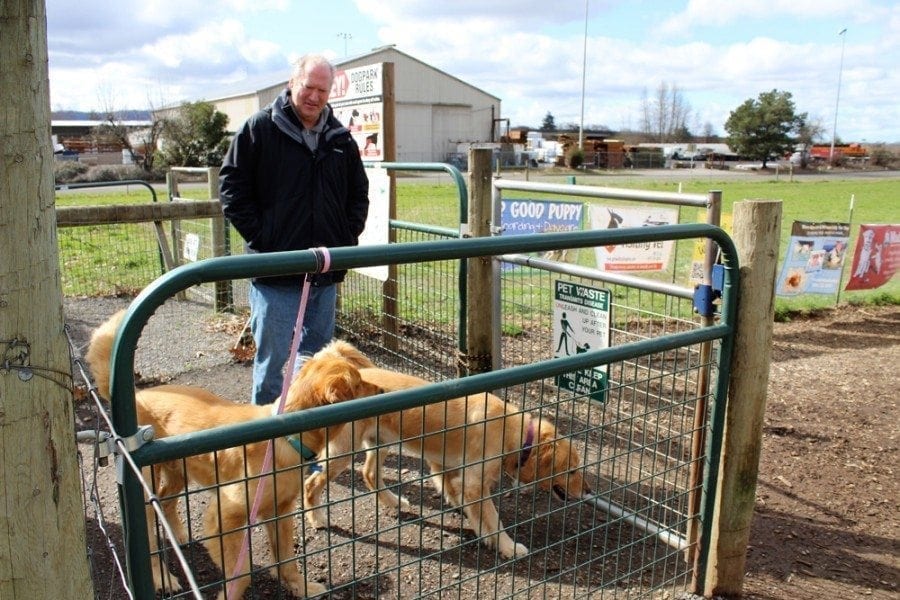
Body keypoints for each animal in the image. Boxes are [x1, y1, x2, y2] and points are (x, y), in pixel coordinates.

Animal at [90, 314, 384, 600]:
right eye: (358, 383)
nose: (383, 392)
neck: (286, 437)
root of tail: (137, 396)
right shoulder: (223, 518)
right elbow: (241, 574)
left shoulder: (280, 511)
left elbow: (287, 560)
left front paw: (301, 587)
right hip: (145, 483)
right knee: (149, 531)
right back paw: (163, 577)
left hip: (178, 471)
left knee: (165, 501)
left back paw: (179, 535)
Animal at [306, 344, 596, 560]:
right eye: (572, 470)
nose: (589, 491)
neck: (511, 431)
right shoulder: (474, 482)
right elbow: (493, 518)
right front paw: (507, 546)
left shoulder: (448, 467)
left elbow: (463, 499)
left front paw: (478, 527)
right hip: (343, 450)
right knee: (312, 484)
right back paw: (317, 518)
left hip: (380, 443)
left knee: (368, 474)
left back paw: (394, 502)